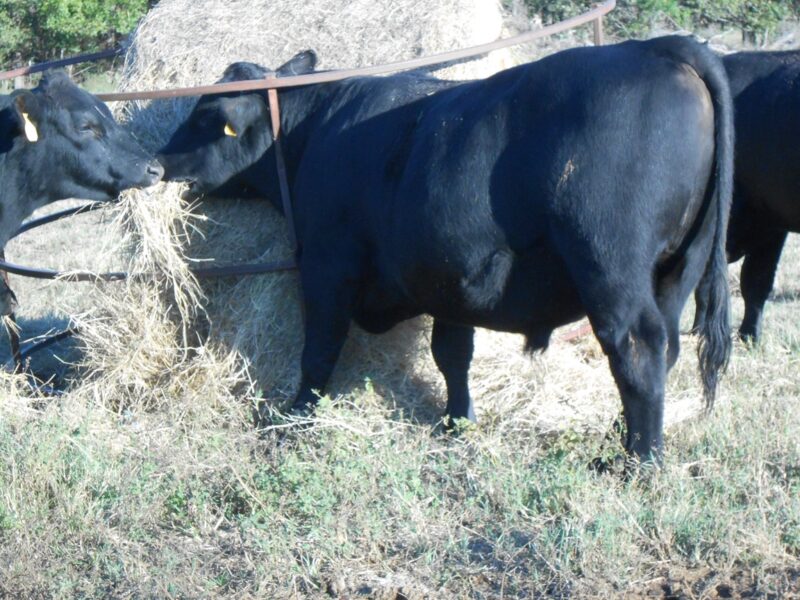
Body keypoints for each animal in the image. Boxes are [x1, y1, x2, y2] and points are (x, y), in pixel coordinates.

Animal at [157, 35, 733, 465]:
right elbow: (452, 355)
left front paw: (295, 418)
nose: (156, 162)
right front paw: (458, 421)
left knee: (635, 348)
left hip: (610, 266)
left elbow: (319, 349)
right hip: (677, 270)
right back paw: (624, 436)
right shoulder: (451, 279)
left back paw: (640, 461)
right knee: (666, 348)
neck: (318, 129)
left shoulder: (327, 263)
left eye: (206, 117)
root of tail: (658, 47)